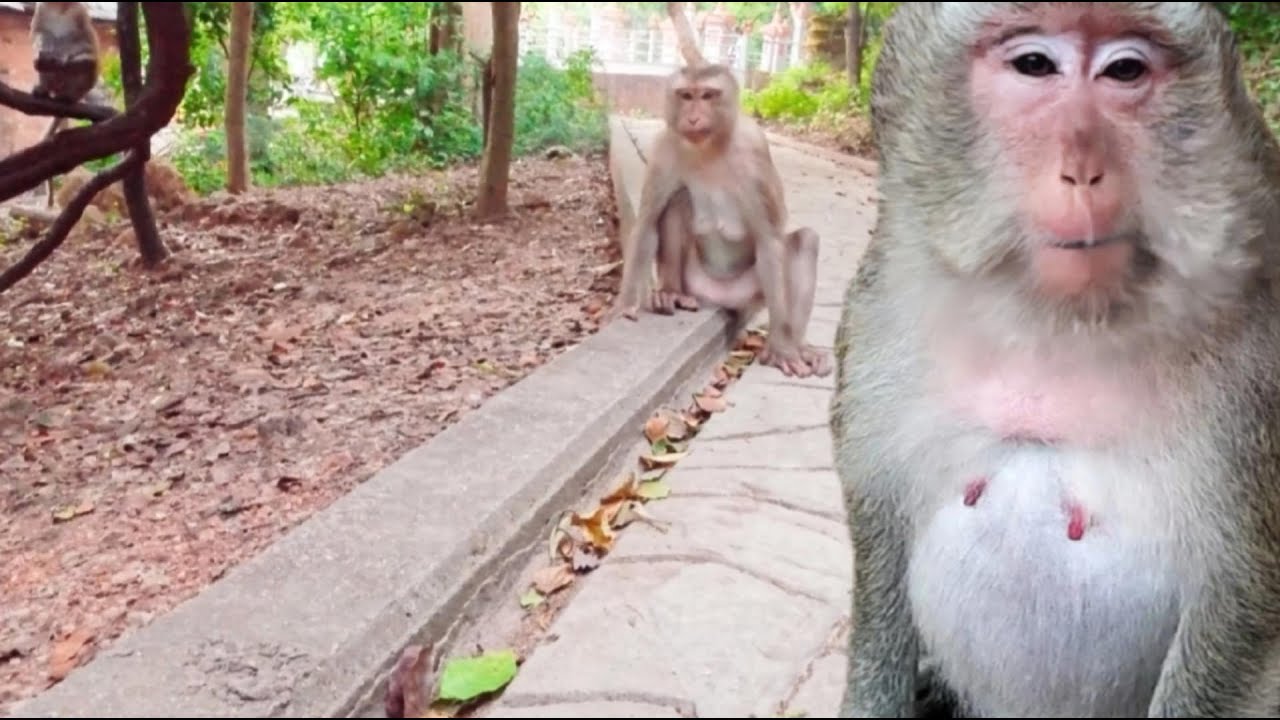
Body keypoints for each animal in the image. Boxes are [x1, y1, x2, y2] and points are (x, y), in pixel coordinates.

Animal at [29, 2, 102, 207]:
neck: (59, 7)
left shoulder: (80, 13)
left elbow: (85, 42)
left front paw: (63, 59)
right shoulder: (41, 8)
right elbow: (39, 34)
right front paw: (44, 55)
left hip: (83, 84)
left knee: (86, 61)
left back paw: (67, 94)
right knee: (50, 48)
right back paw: (43, 87)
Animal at [611, 4, 830, 379]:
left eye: (708, 96)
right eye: (686, 96)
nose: (693, 117)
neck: (708, 147)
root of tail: (722, 300)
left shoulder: (754, 150)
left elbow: (771, 241)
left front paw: (784, 347)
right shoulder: (664, 147)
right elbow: (647, 222)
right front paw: (627, 303)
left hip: (753, 292)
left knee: (803, 242)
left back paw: (793, 345)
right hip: (697, 282)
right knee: (678, 200)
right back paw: (671, 293)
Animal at [830, 2, 1280, 717]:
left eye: (1124, 70)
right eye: (1035, 65)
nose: (1084, 170)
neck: (1055, 320)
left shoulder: (1257, 369)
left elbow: (1239, 605)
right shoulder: (877, 315)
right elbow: (879, 549)